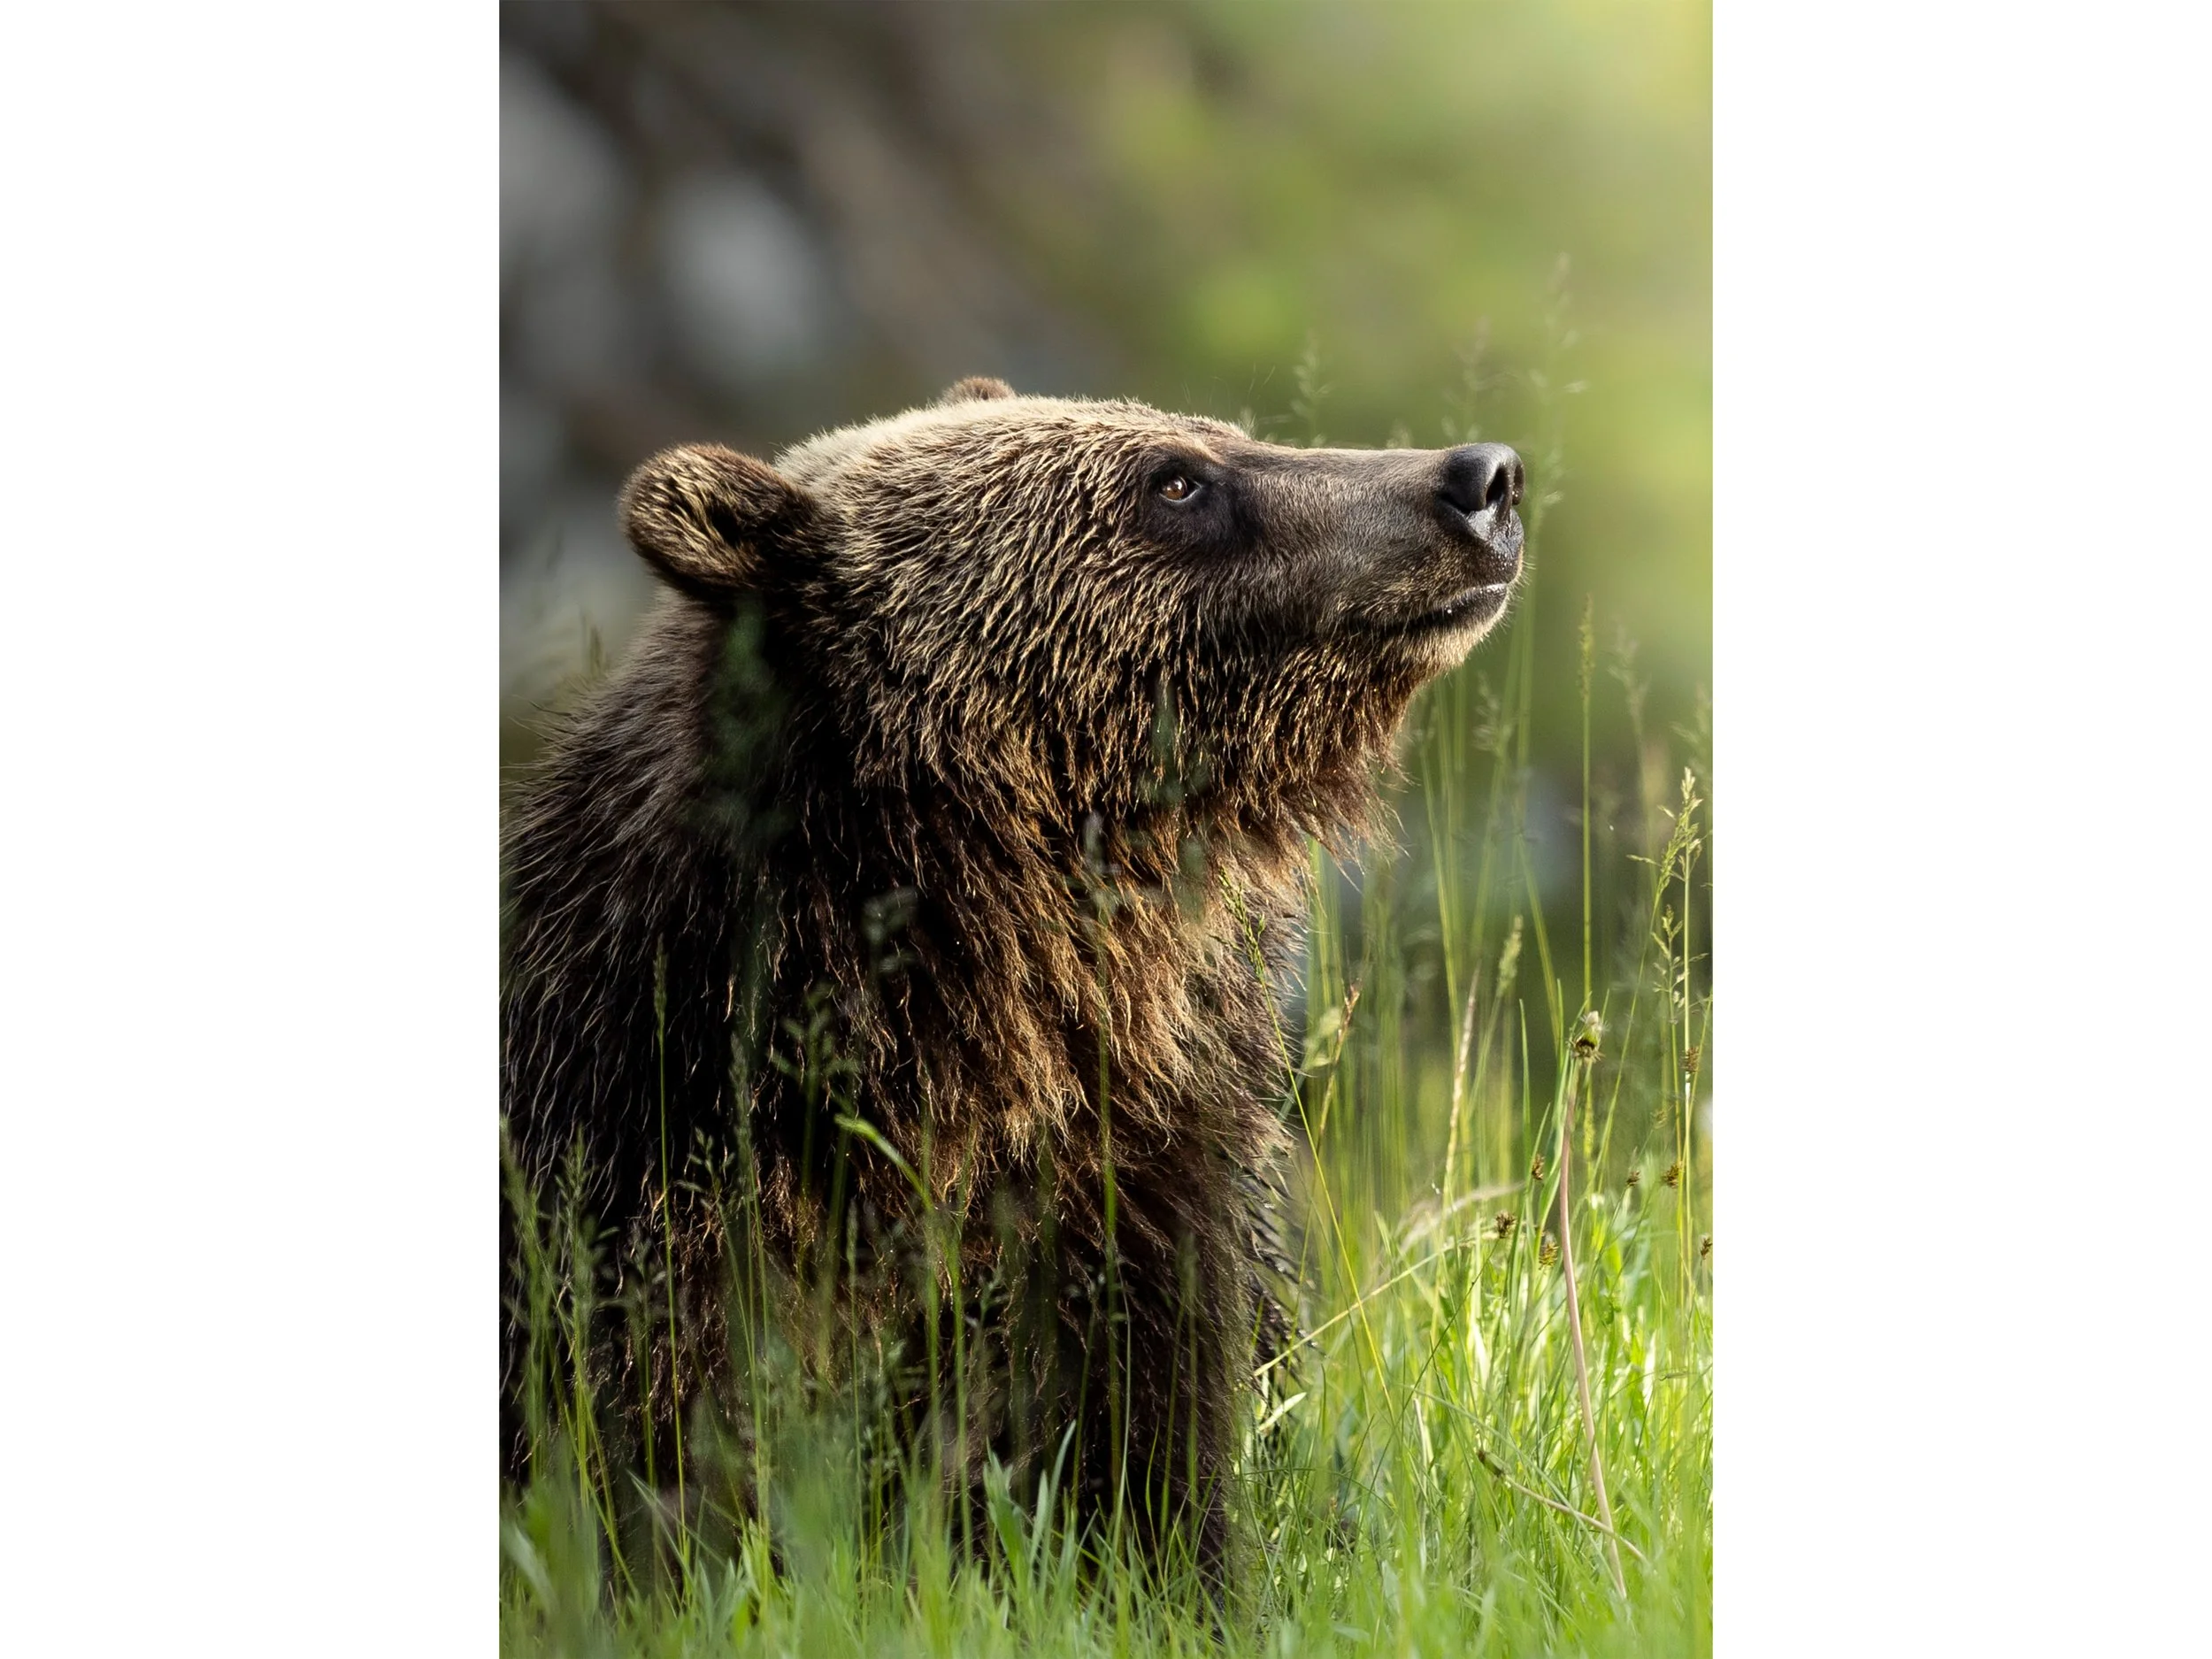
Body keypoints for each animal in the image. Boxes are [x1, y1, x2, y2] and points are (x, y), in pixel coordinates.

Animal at [500, 375, 1524, 1583]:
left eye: (1227, 436)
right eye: (1177, 481)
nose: (1481, 477)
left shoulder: (1136, 1174)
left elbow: (1139, 1432)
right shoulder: (634, 1171)